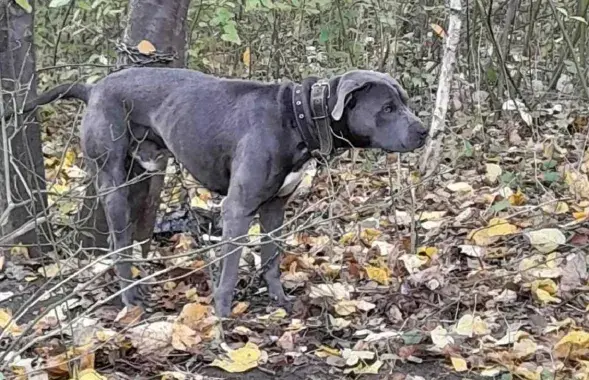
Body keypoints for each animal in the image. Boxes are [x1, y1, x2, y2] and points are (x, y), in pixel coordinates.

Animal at [5, 67, 428, 316]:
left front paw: (279, 301)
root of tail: (93, 87)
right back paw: (130, 298)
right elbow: (229, 269)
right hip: (113, 181)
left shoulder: (275, 208)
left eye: (403, 102)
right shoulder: (237, 209)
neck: (298, 117)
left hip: (142, 176)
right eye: (387, 108)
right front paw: (223, 319)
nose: (424, 130)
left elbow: (271, 258)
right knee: (118, 241)